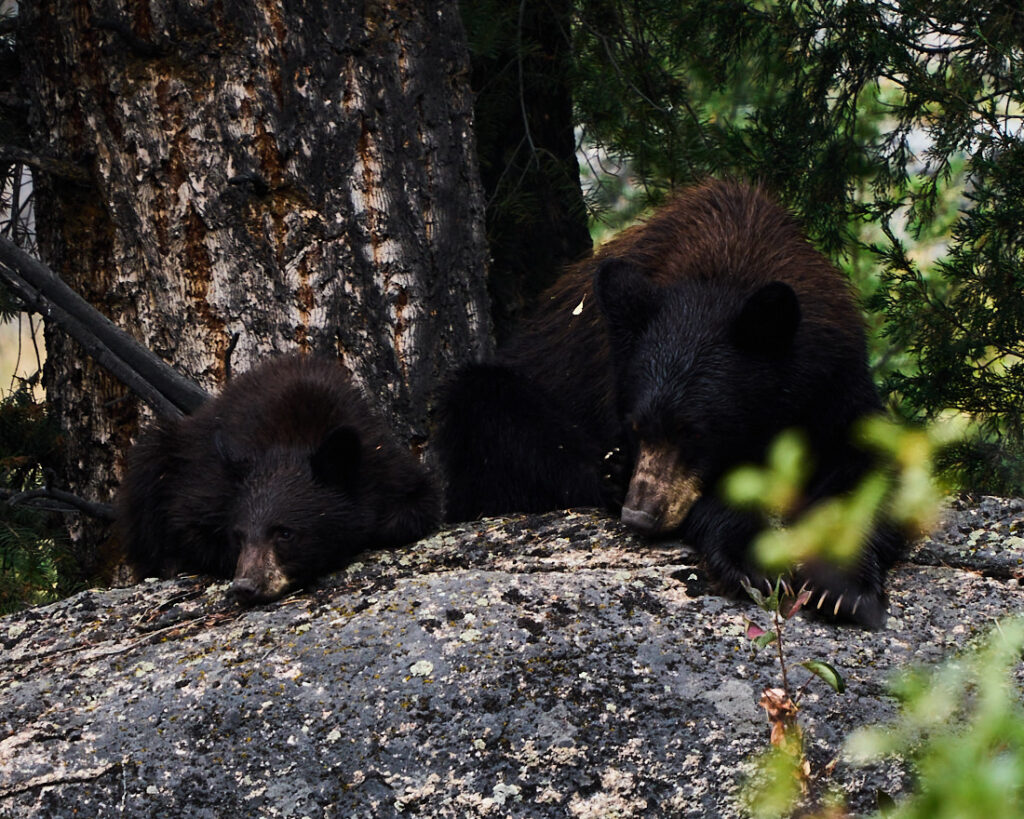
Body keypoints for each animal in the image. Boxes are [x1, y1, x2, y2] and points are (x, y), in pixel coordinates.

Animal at [117, 354, 441, 603]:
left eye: (285, 532)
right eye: (239, 535)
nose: (245, 587)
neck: (294, 439)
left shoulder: (382, 462)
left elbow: (417, 506)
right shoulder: (208, 486)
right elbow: (188, 527)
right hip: (160, 452)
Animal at [436, 179, 905, 627]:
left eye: (694, 432)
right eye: (635, 425)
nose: (639, 516)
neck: (728, 265)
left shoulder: (834, 380)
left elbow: (871, 467)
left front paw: (844, 589)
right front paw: (751, 562)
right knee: (488, 402)